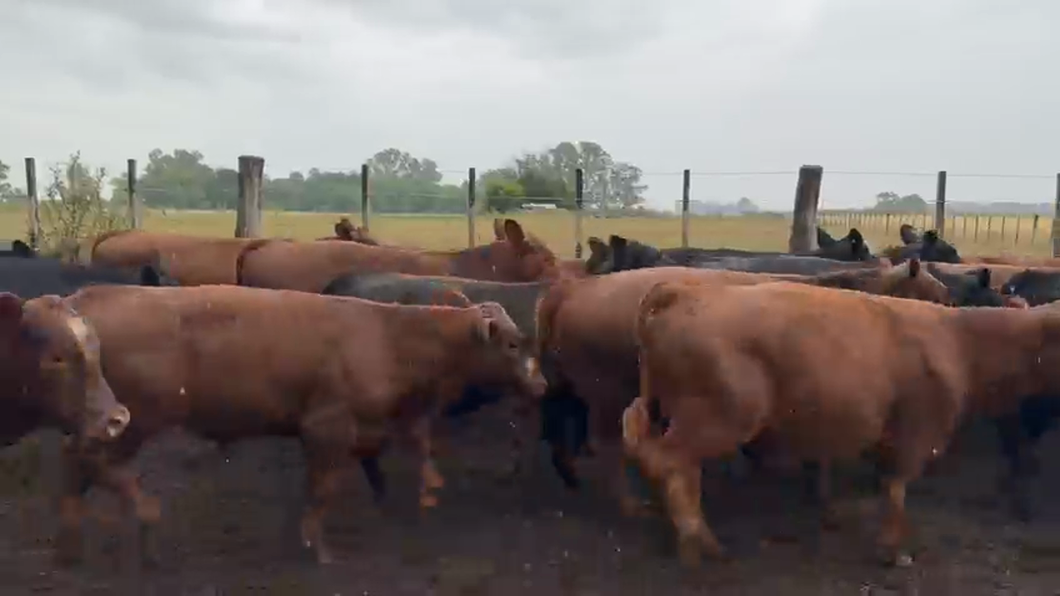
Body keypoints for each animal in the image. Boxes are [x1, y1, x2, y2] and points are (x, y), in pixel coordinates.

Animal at [49, 284, 546, 566]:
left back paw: (71, 546)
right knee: (91, 463)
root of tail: (88, 298)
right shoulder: (328, 429)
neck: (391, 336)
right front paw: (318, 548)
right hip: (133, 421)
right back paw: (144, 527)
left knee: (78, 465)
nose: (541, 383)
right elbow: (323, 490)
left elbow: (362, 475)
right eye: (513, 343)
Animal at [623, 279, 1060, 568]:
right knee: (670, 462)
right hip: (718, 418)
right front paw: (892, 548)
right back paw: (694, 542)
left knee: (670, 459)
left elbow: (887, 485)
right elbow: (897, 488)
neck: (962, 340)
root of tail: (684, 291)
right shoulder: (915, 432)